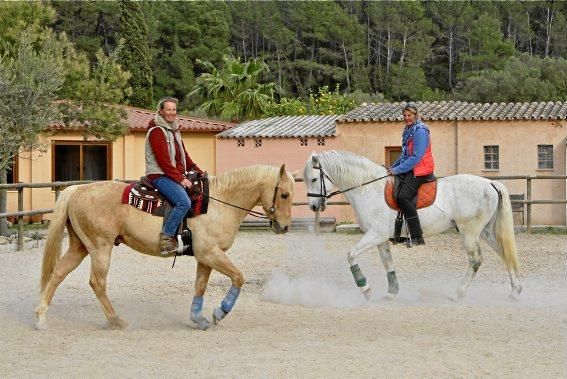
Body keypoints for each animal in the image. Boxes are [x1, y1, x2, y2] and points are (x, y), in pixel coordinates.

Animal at [36, 165, 296, 332]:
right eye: (284, 194)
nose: (284, 227)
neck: (219, 203)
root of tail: (77, 190)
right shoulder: (211, 254)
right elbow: (239, 277)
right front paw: (219, 312)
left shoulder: (205, 258)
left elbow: (200, 286)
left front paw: (198, 318)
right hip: (101, 248)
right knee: (97, 282)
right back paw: (117, 321)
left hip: (80, 247)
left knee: (58, 273)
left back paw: (41, 317)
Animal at [302, 150, 524, 302]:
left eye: (313, 179)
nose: (313, 206)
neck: (369, 188)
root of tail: (490, 183)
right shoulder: (381, 238)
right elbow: (388, 263)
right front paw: (392, 292)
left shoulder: (375, 234)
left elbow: (351, 255)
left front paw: (366, 290)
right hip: (486, 232)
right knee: (505, 254)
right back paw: (515, 291)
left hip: (469, 232)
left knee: (476, 260)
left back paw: (457, 293)